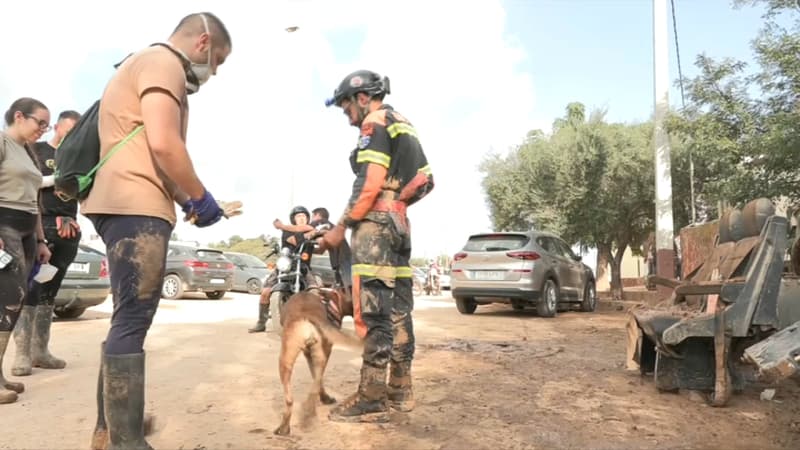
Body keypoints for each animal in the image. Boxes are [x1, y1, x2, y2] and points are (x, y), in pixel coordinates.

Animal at [276, 286, 362, 434]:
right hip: (314, 355)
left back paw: (290, 424)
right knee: (314, 385)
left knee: (294, 397)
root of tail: (307, 314)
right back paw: (307, 414)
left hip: (288, 358)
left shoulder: (310, 354)